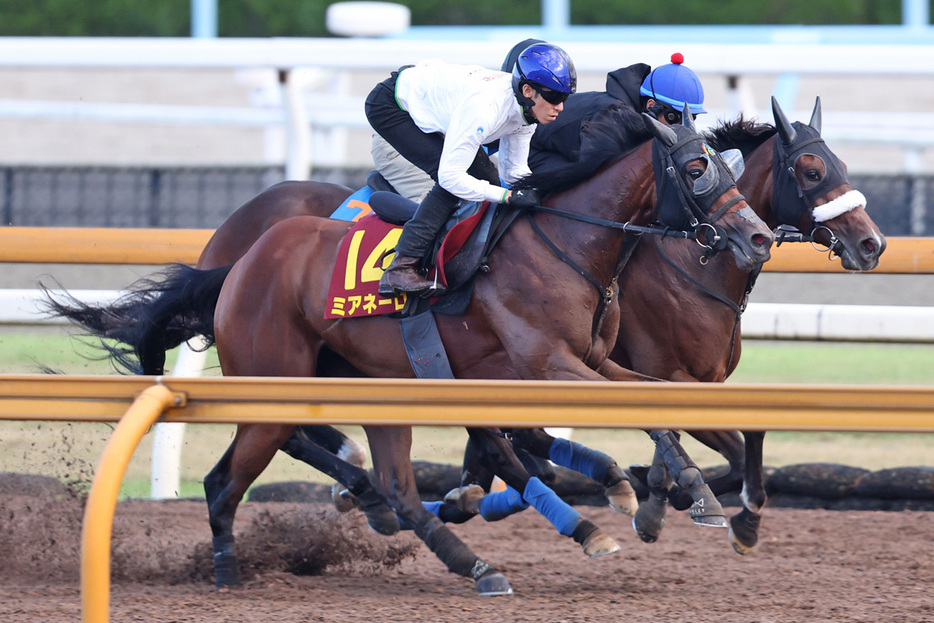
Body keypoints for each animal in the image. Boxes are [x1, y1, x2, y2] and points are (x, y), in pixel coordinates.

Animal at [44, 112, 776, 596]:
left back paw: (468, 555)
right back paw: (229, 566)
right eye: (697, 167)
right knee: (230, 476)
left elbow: (651, 406)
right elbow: (625, 417)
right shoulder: (546, 362)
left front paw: (691, 490)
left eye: (725, 161)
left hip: (369, 383)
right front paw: (670, 491)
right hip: (274, 383)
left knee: (395, 482)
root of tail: (239, 264)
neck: (569, 240)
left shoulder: (592, 358)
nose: (759, 238)